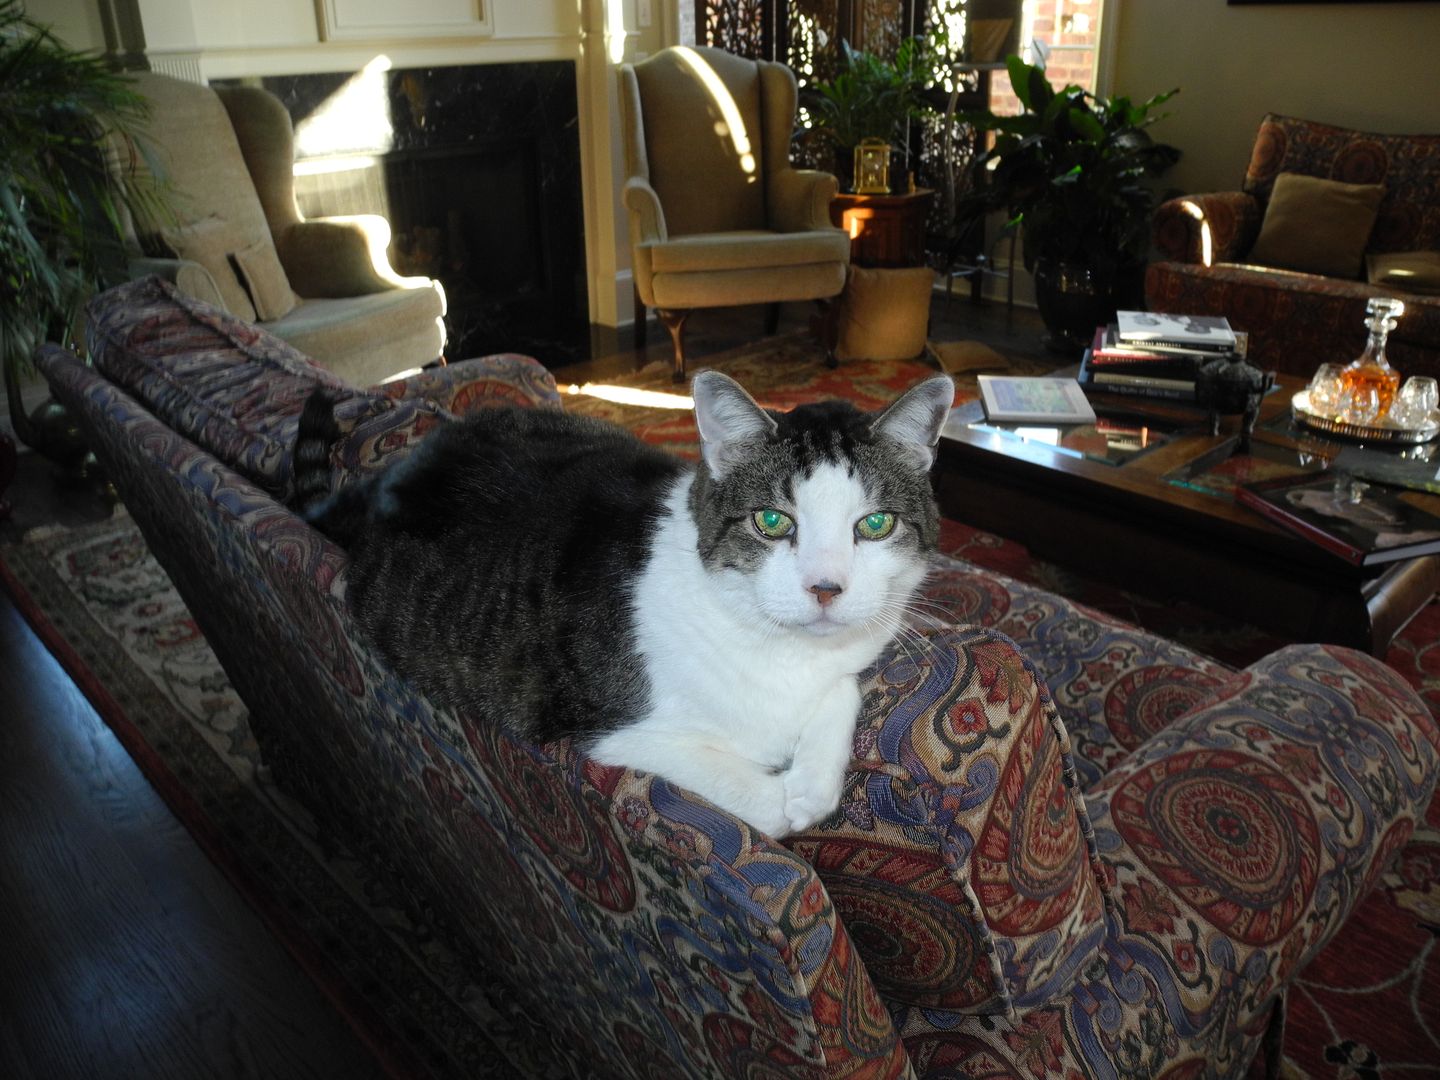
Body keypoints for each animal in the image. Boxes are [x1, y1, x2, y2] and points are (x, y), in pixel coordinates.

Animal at [295, 371, 956, 835]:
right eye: (771, 521)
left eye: (875, 524)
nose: (825, 588)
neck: (781, 649)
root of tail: (390, 475)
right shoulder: (609, 732)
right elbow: (759, 802)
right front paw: (790, 801)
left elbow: (843, 690)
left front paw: (813, 784)